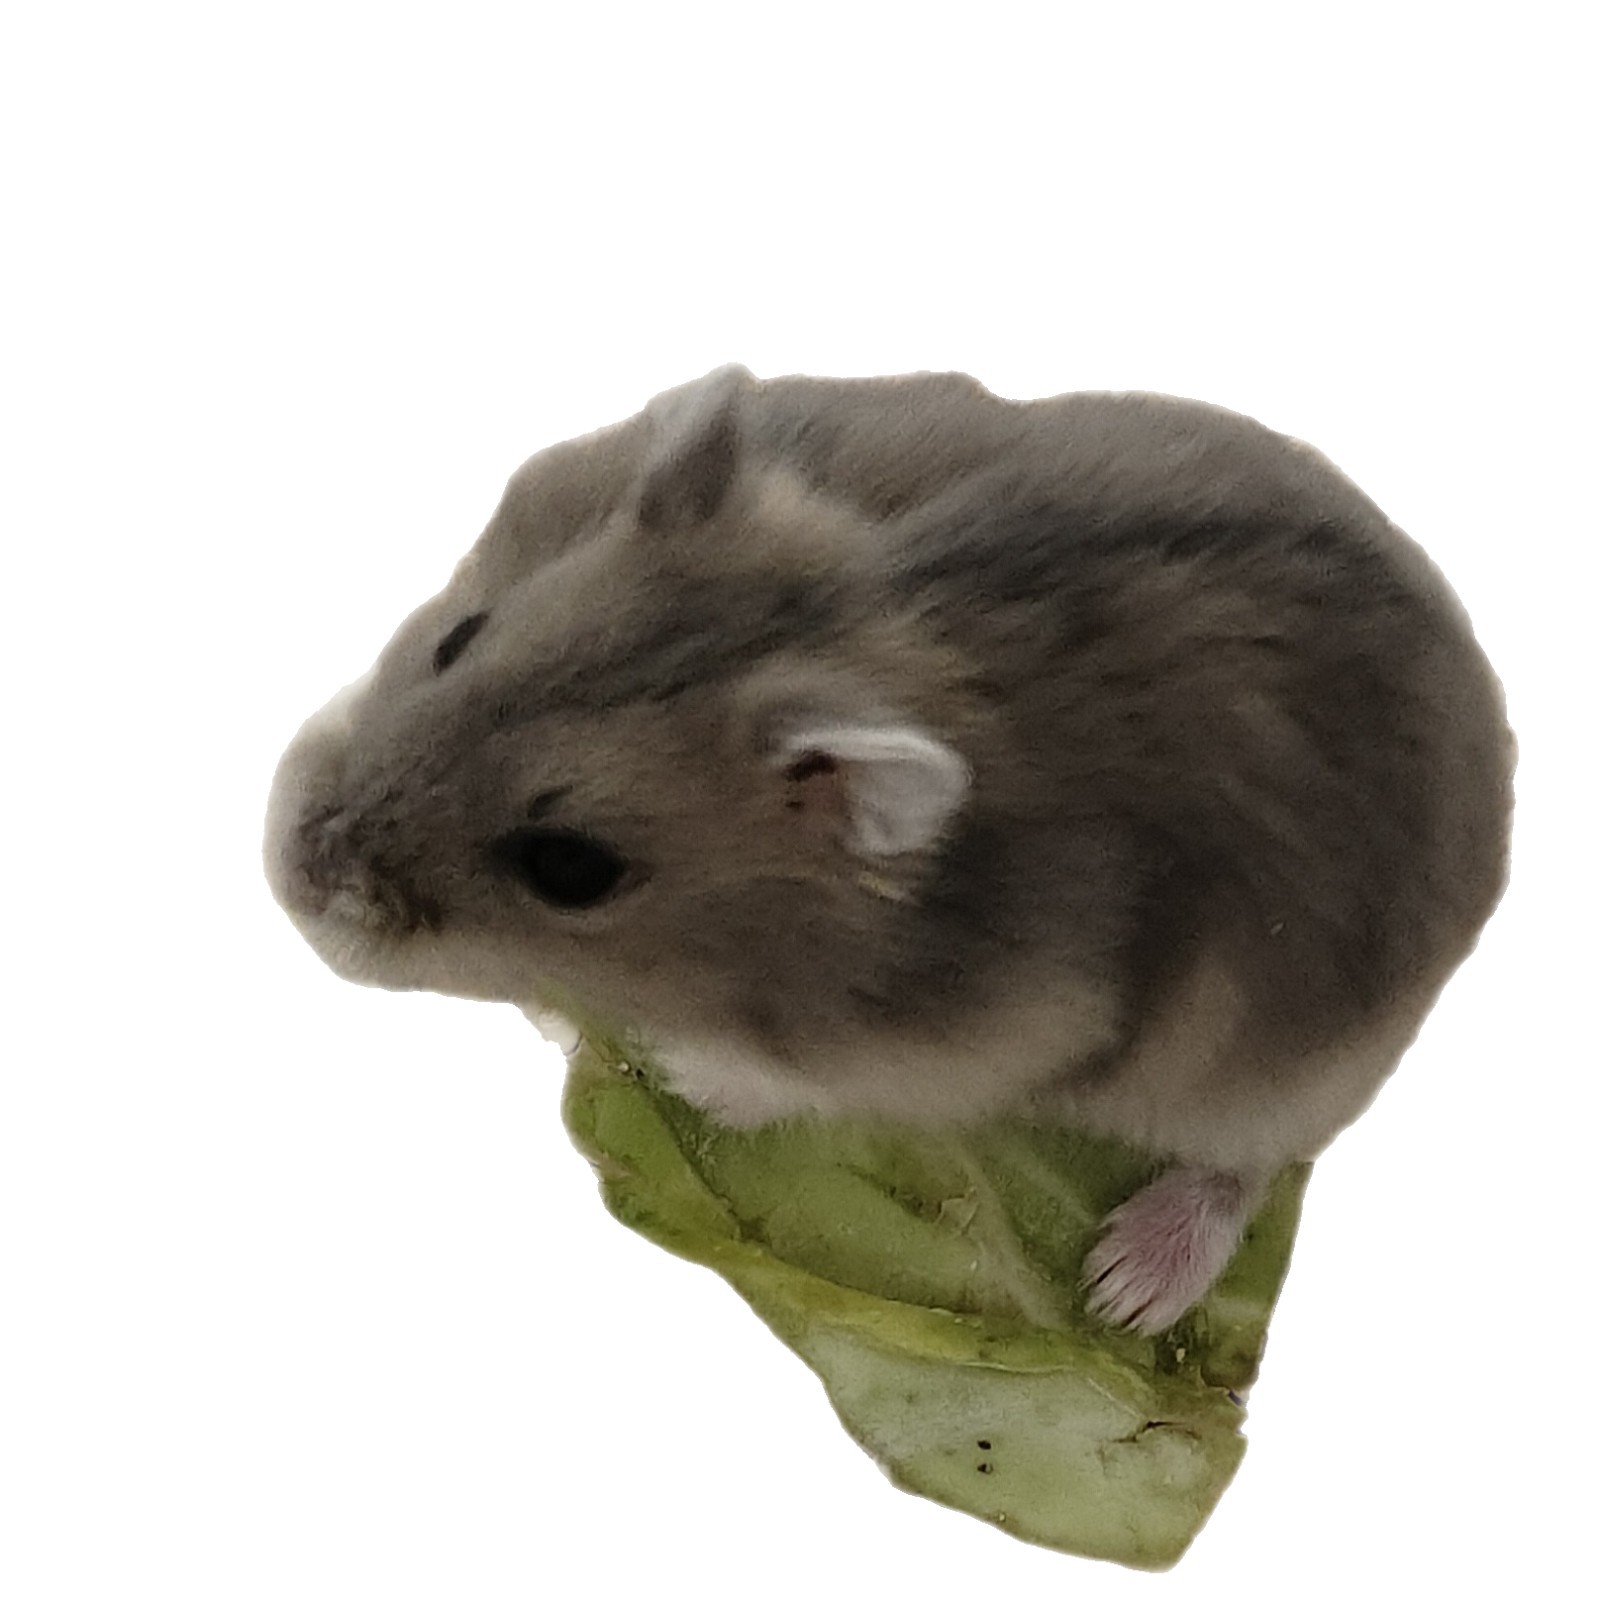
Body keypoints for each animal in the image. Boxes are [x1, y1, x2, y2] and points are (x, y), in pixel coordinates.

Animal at [264, 366, 1513, 1333]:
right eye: (458, 639)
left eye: (570, 867)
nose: (290, 870)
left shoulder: (996, 1028)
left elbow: (798, 1078)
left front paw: (676, 1068)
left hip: (1274, 1064)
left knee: (1247, 1159)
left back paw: (1124, 1293)